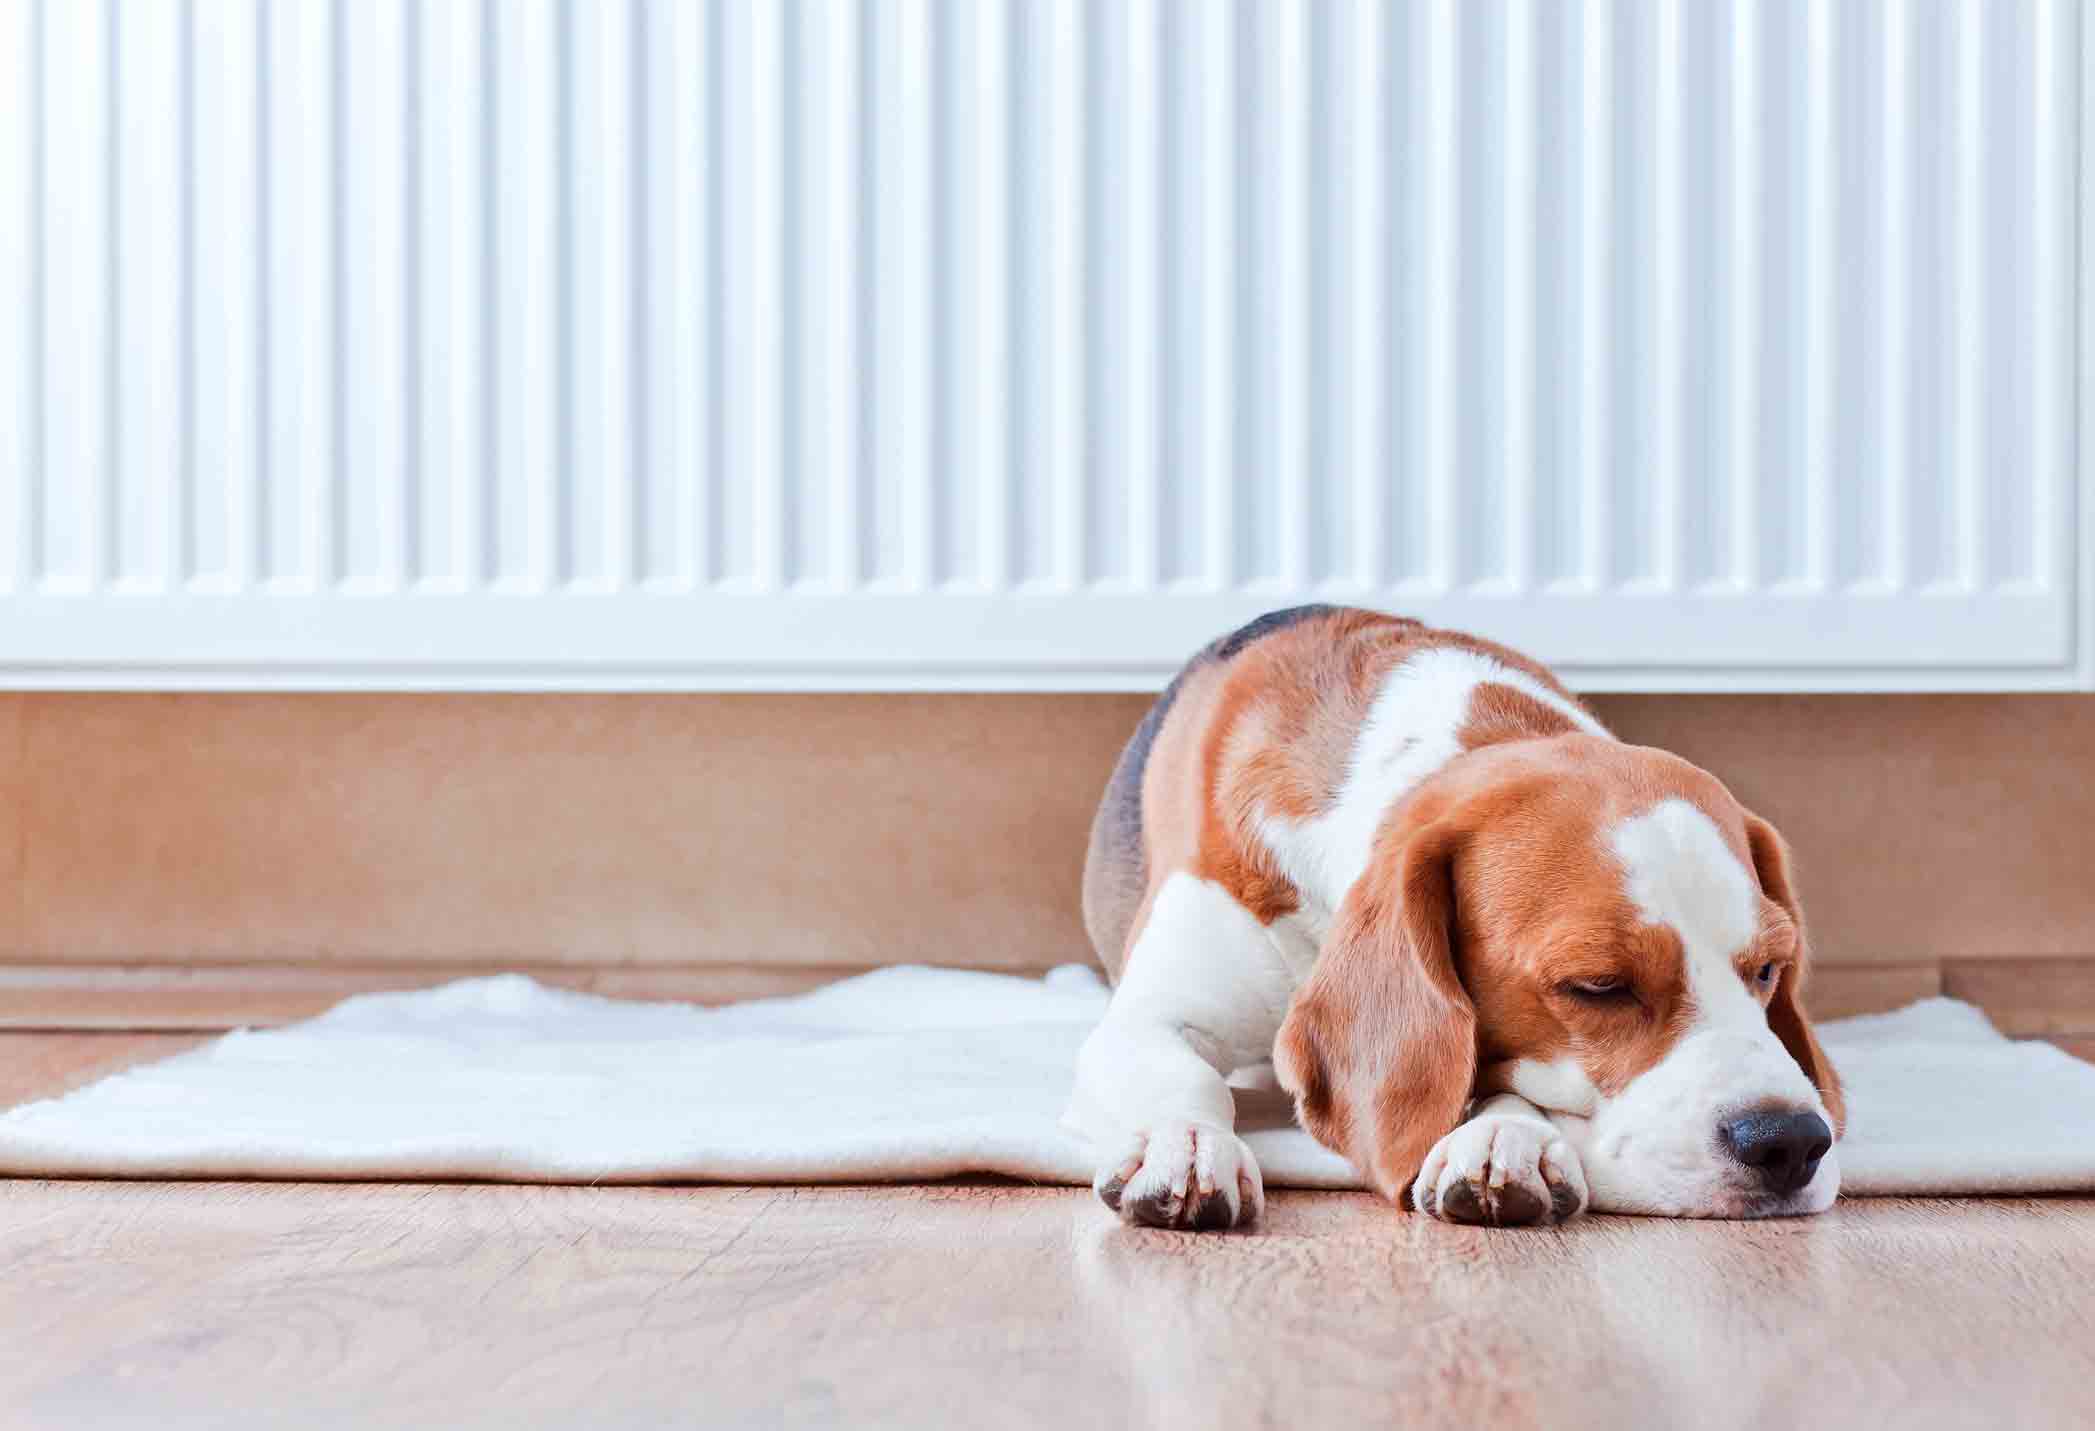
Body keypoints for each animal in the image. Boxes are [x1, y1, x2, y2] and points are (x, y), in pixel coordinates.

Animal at [1072, 603, 1843, 1231]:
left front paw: (1504, 1137)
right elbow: (1186, 1078)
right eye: (1598, 986)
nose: (1791, 1141)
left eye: (1768, 969)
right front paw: (1184, 1143)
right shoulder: (1150, 1017)